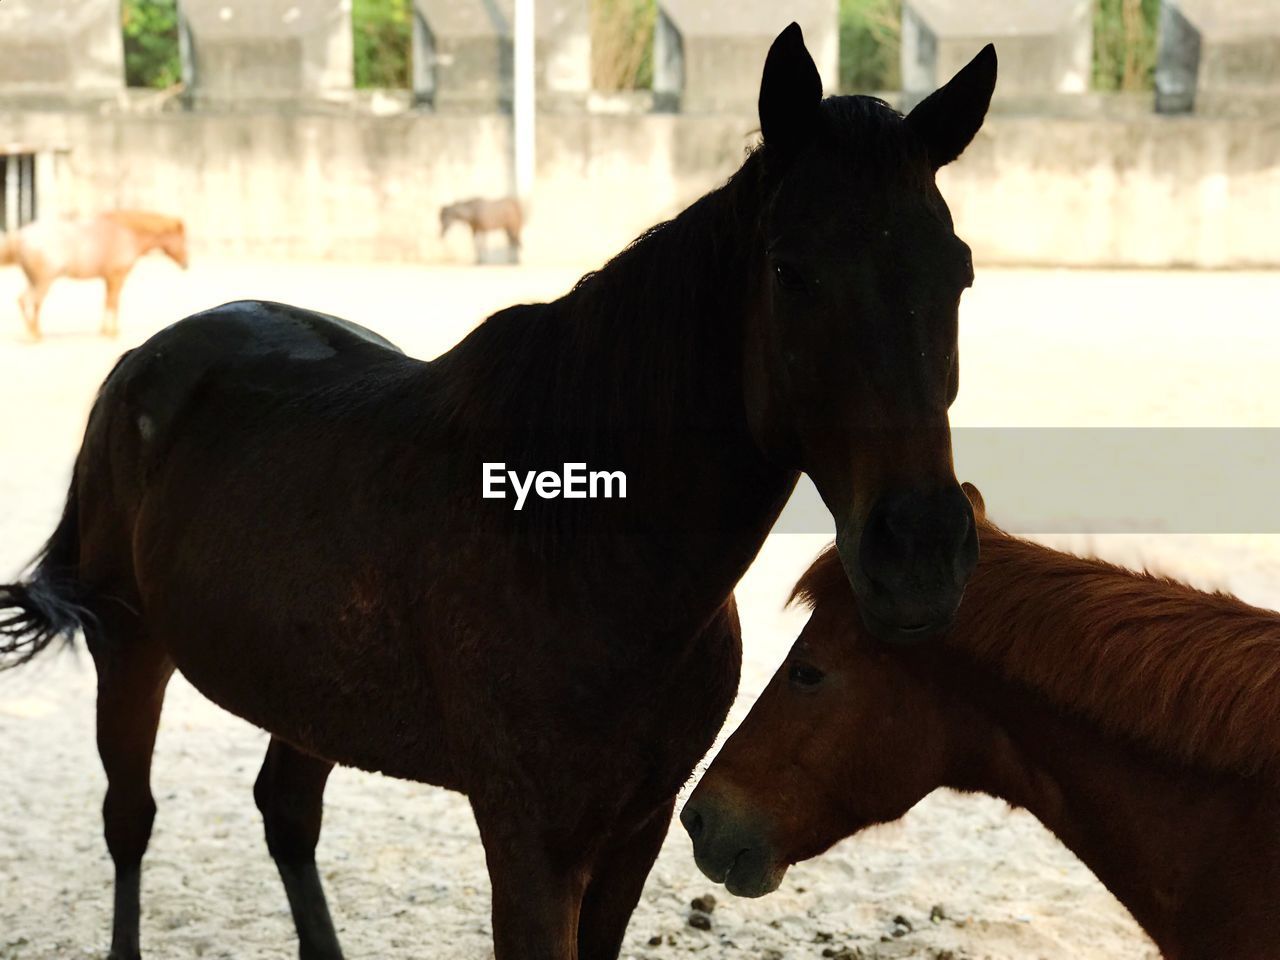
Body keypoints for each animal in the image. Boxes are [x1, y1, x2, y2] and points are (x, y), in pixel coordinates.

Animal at [0, 209, 188, 343]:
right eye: (182, 240)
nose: (186, 264)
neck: (127, 233)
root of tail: (21, 235)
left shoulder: (108, 278)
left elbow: (107, 301)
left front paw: (105, 330)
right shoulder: (117, 276)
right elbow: (113, 302)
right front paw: (113, 332)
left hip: (34, 279)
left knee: (26, 300)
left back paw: (35, 333)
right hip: (44, 280)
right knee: (32, 300)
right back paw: (33, 335)